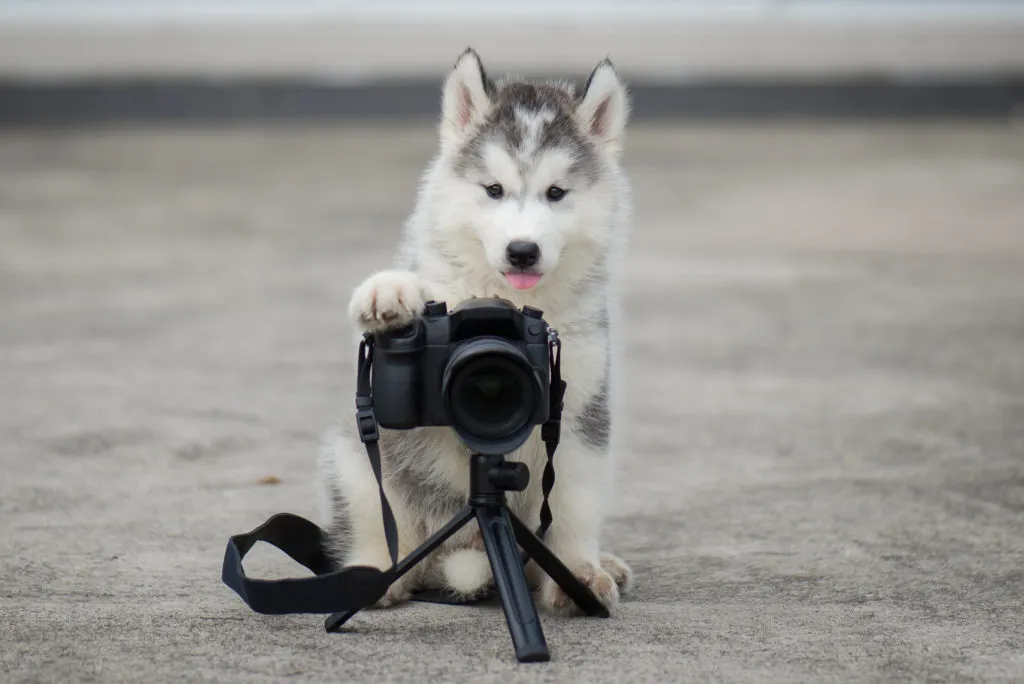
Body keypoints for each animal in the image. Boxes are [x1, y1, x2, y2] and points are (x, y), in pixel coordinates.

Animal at [317, 48, 630, 614]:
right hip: (352, 460)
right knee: (381, 524)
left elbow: (572, 505)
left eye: (556, 193)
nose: (522, 251)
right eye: (494, 190)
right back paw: (375, 574)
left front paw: (578, 573)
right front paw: (389, 293)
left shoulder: (579, 412)